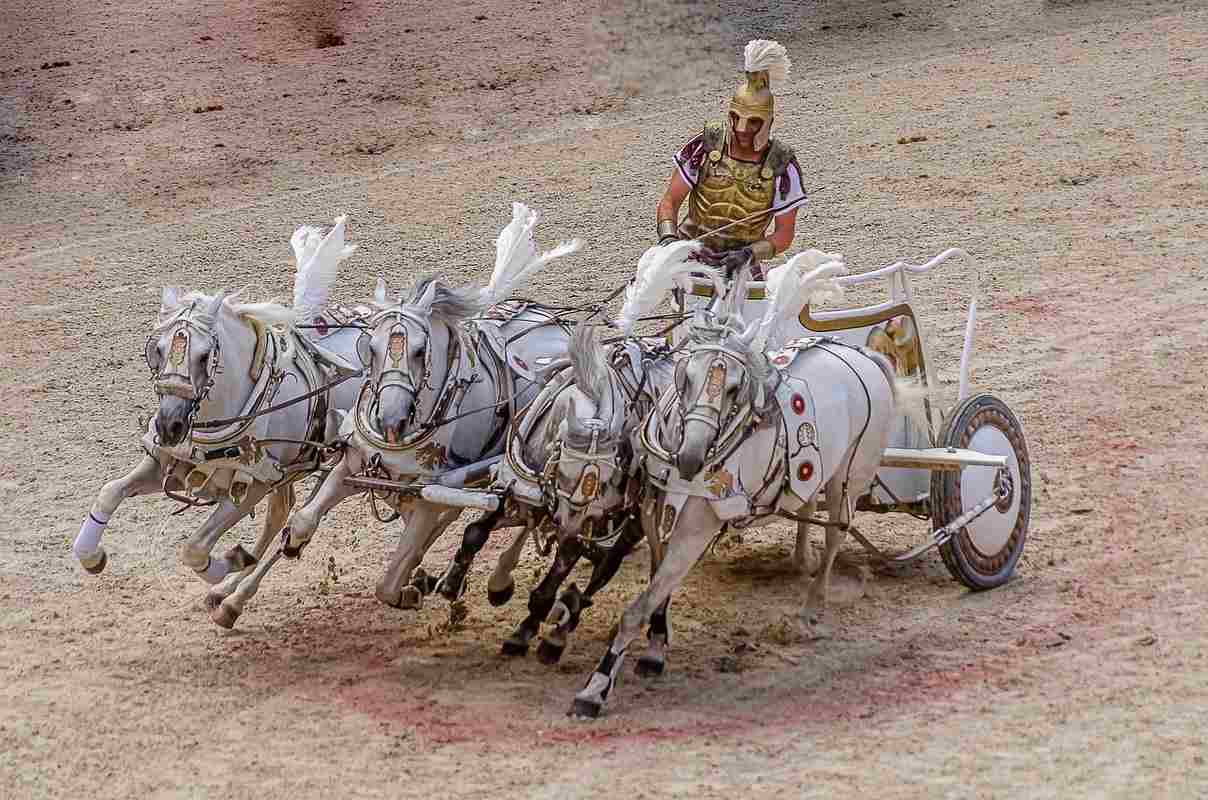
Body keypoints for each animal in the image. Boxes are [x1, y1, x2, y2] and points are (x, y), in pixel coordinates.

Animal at [70, 216, 359, 611]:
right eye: (156, 350)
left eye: (205, 356)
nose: (169, 425)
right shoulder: (170, 464)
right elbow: (109, 492)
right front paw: (91, 555)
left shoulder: (254, 483)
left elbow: (194, 549)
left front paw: (231, 560)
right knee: (283, 516)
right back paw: (230, 594)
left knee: (300, 520)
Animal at [215, 200, 587, 628]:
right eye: (371, 348)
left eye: (420, 351)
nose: (390, 420)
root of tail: (557, 327)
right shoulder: (352, 464)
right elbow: (300, 524)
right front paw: (233, 596)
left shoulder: (429, 488)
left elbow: (389, 581)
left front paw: (411, 589)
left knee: (522, 513)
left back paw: (495, 582)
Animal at [570, 252, 903, 720]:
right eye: (686, 376)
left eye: (733, 387)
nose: (691, 458)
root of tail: (862, 355)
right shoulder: (655, 515)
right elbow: (657, 585)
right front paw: (655, 648)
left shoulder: (696, 528)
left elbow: (638, 606)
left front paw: (595, 689)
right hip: (818, 469)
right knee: (807, 508)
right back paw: (800, 561)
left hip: (851, 476)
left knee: (837, 533)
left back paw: (811, 610)